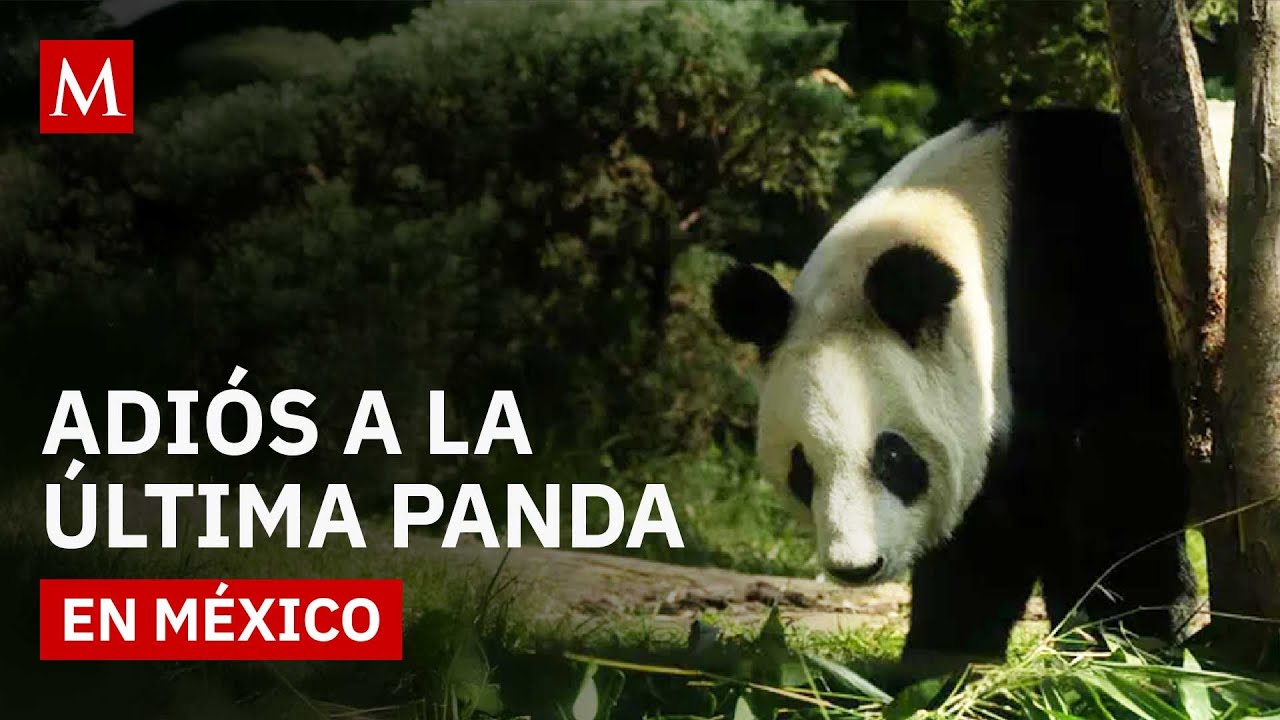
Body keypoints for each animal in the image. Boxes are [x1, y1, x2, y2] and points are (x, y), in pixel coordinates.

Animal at [712, 102, 1234, 666]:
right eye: (801, 467)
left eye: (892, 457)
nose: (856, 567)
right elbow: (981, 542)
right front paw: (940, 663)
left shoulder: (1110, 311)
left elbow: (1122, 498)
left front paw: (1122, 643)